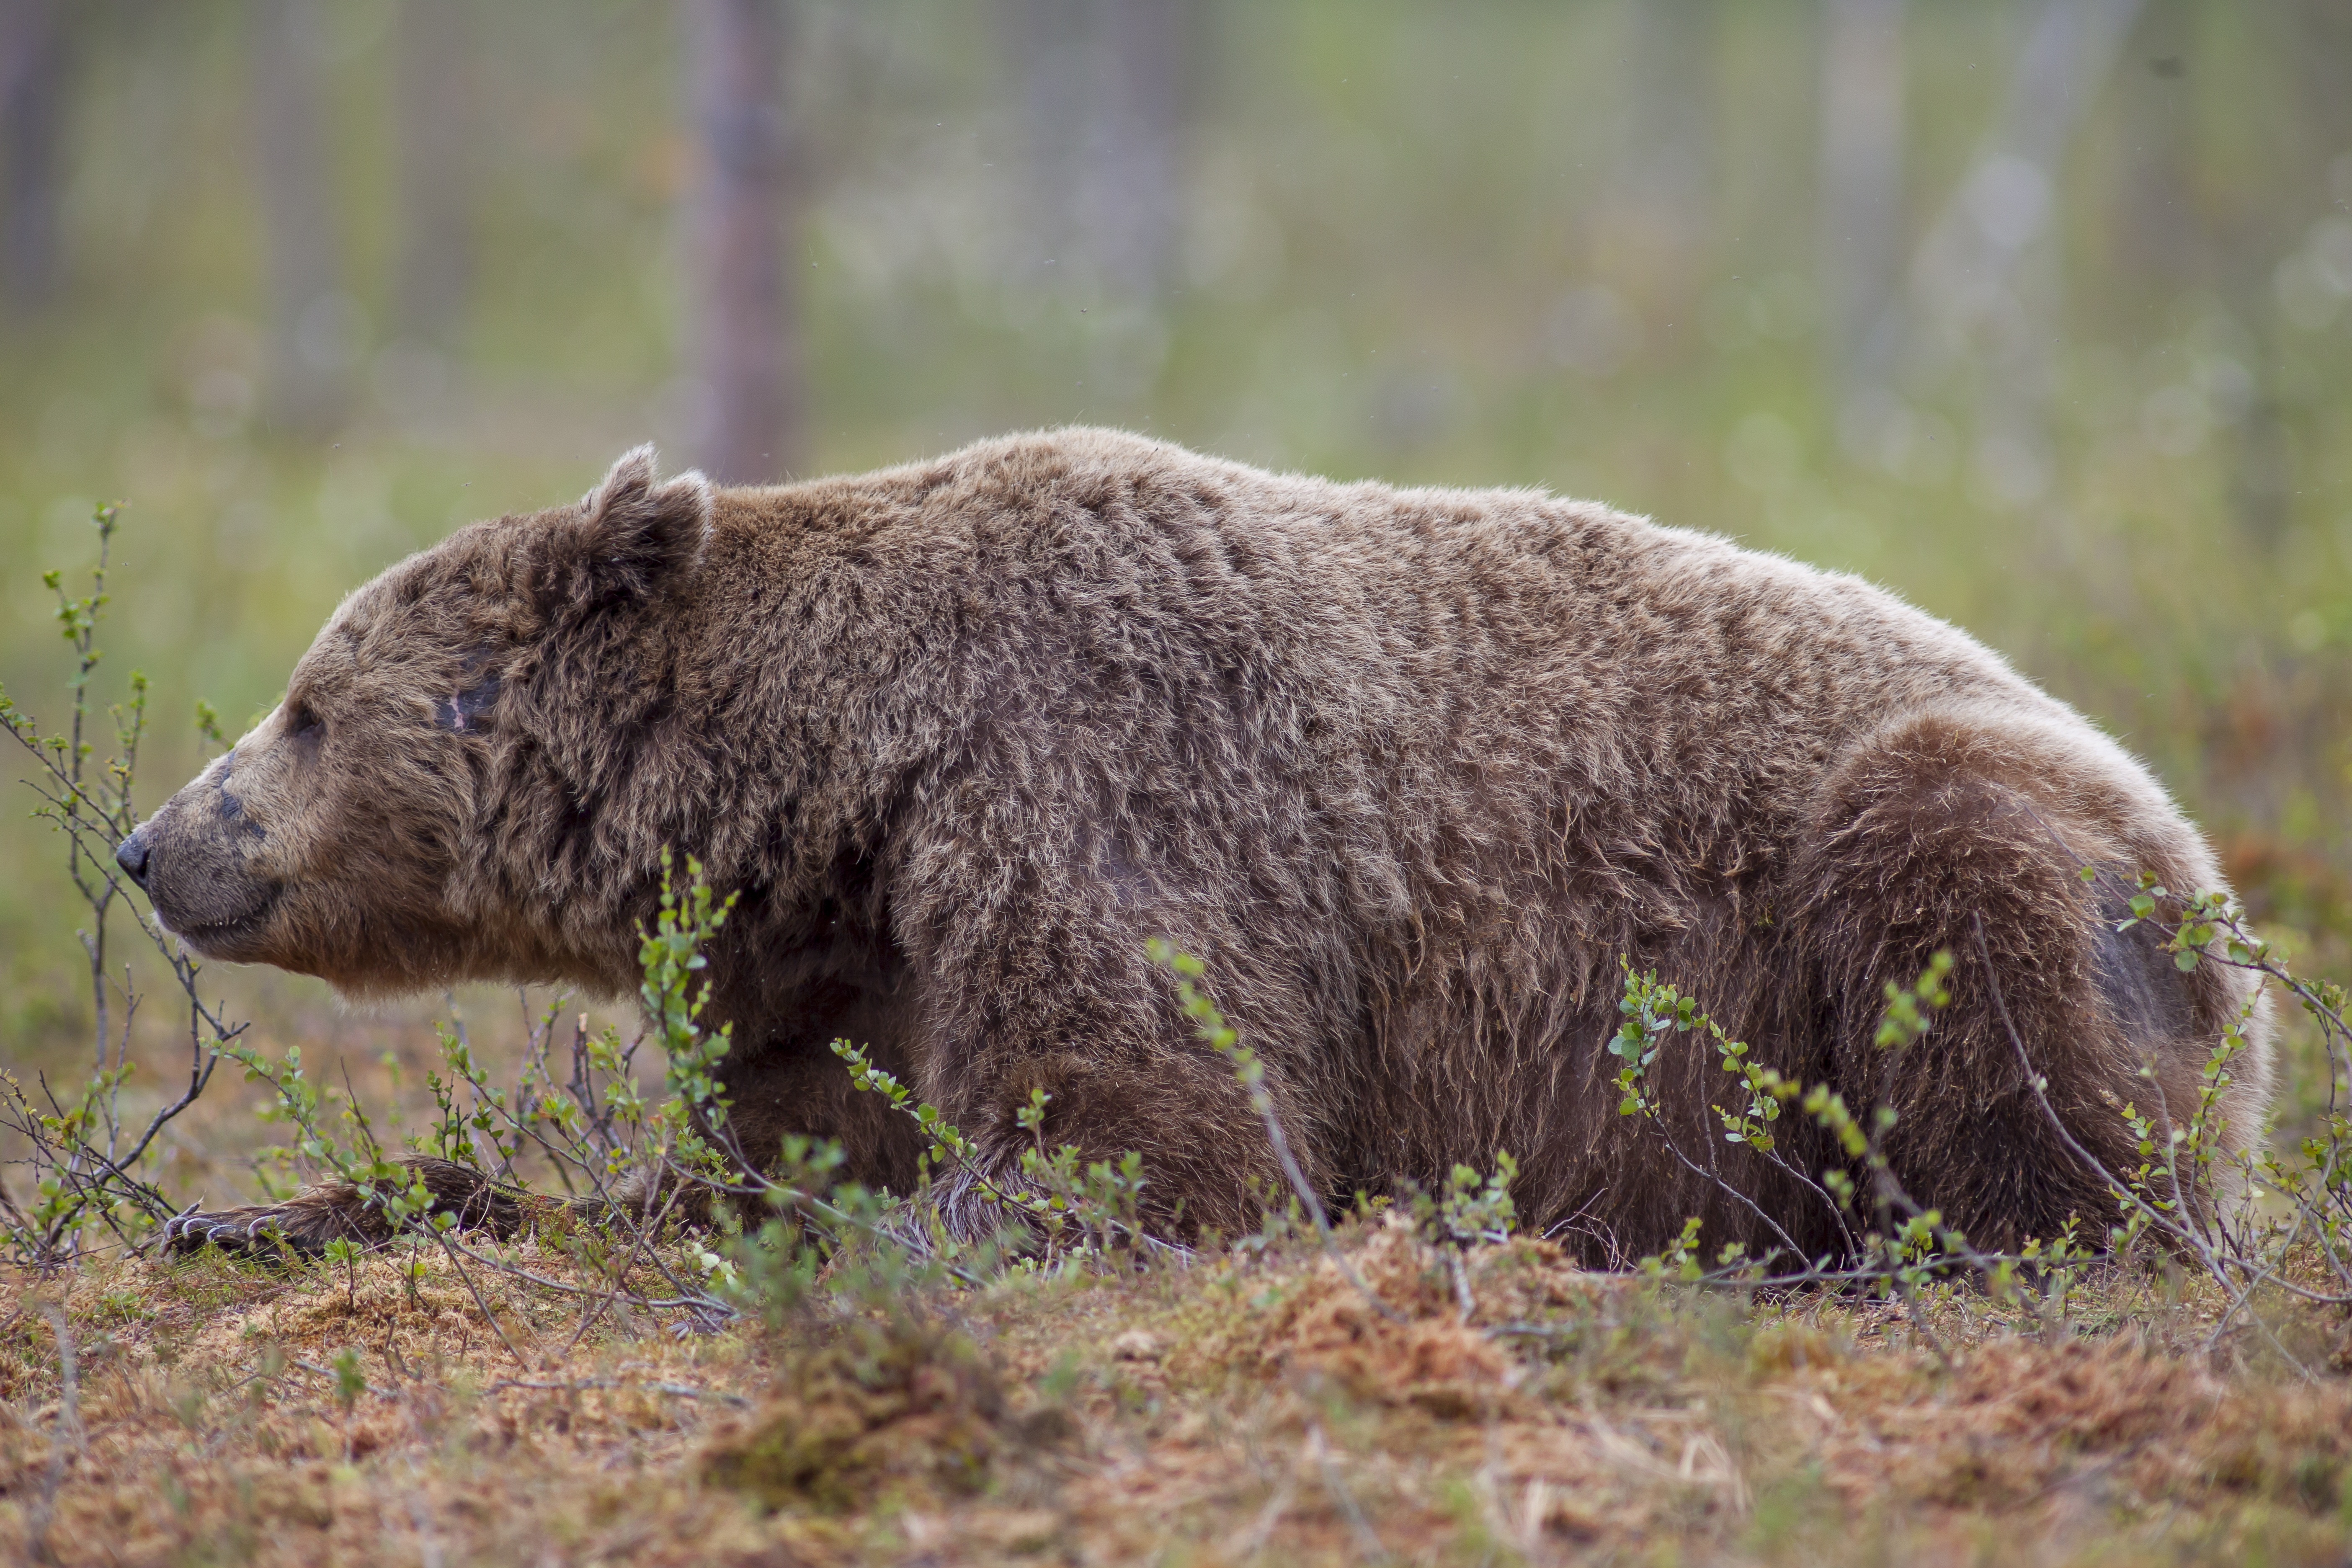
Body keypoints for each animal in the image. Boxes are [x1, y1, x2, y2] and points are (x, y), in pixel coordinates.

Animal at [121, 428, 2272, 1264]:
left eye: (304, 703)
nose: (152, 844)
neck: (838, 784)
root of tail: (2217, 862)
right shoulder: (847, 956)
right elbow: (757, 1152)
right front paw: (250, 1209)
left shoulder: (1096, 792)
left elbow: (1153, 1138)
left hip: (1971, 855)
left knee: (1982, 965)